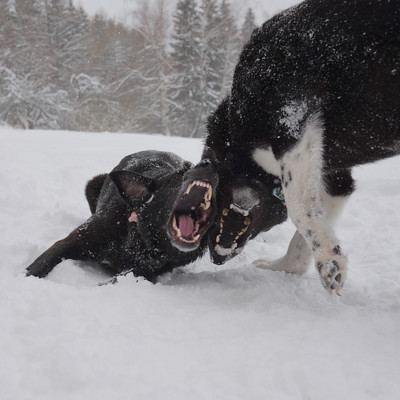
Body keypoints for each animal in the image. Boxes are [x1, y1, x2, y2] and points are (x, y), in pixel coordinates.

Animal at [26, 151, 217, 282]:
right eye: (181, 173)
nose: (210, 164)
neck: (139, 239)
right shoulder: (73, 241)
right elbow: (41, 264)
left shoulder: (141, 271)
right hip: (93, 184)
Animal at [172, 0, 400, 294]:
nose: (213, 258)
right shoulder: (335, 178)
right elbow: (303, 235)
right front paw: (288, 266)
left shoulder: (292, 118)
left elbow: (298, 207)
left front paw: (329, 260)